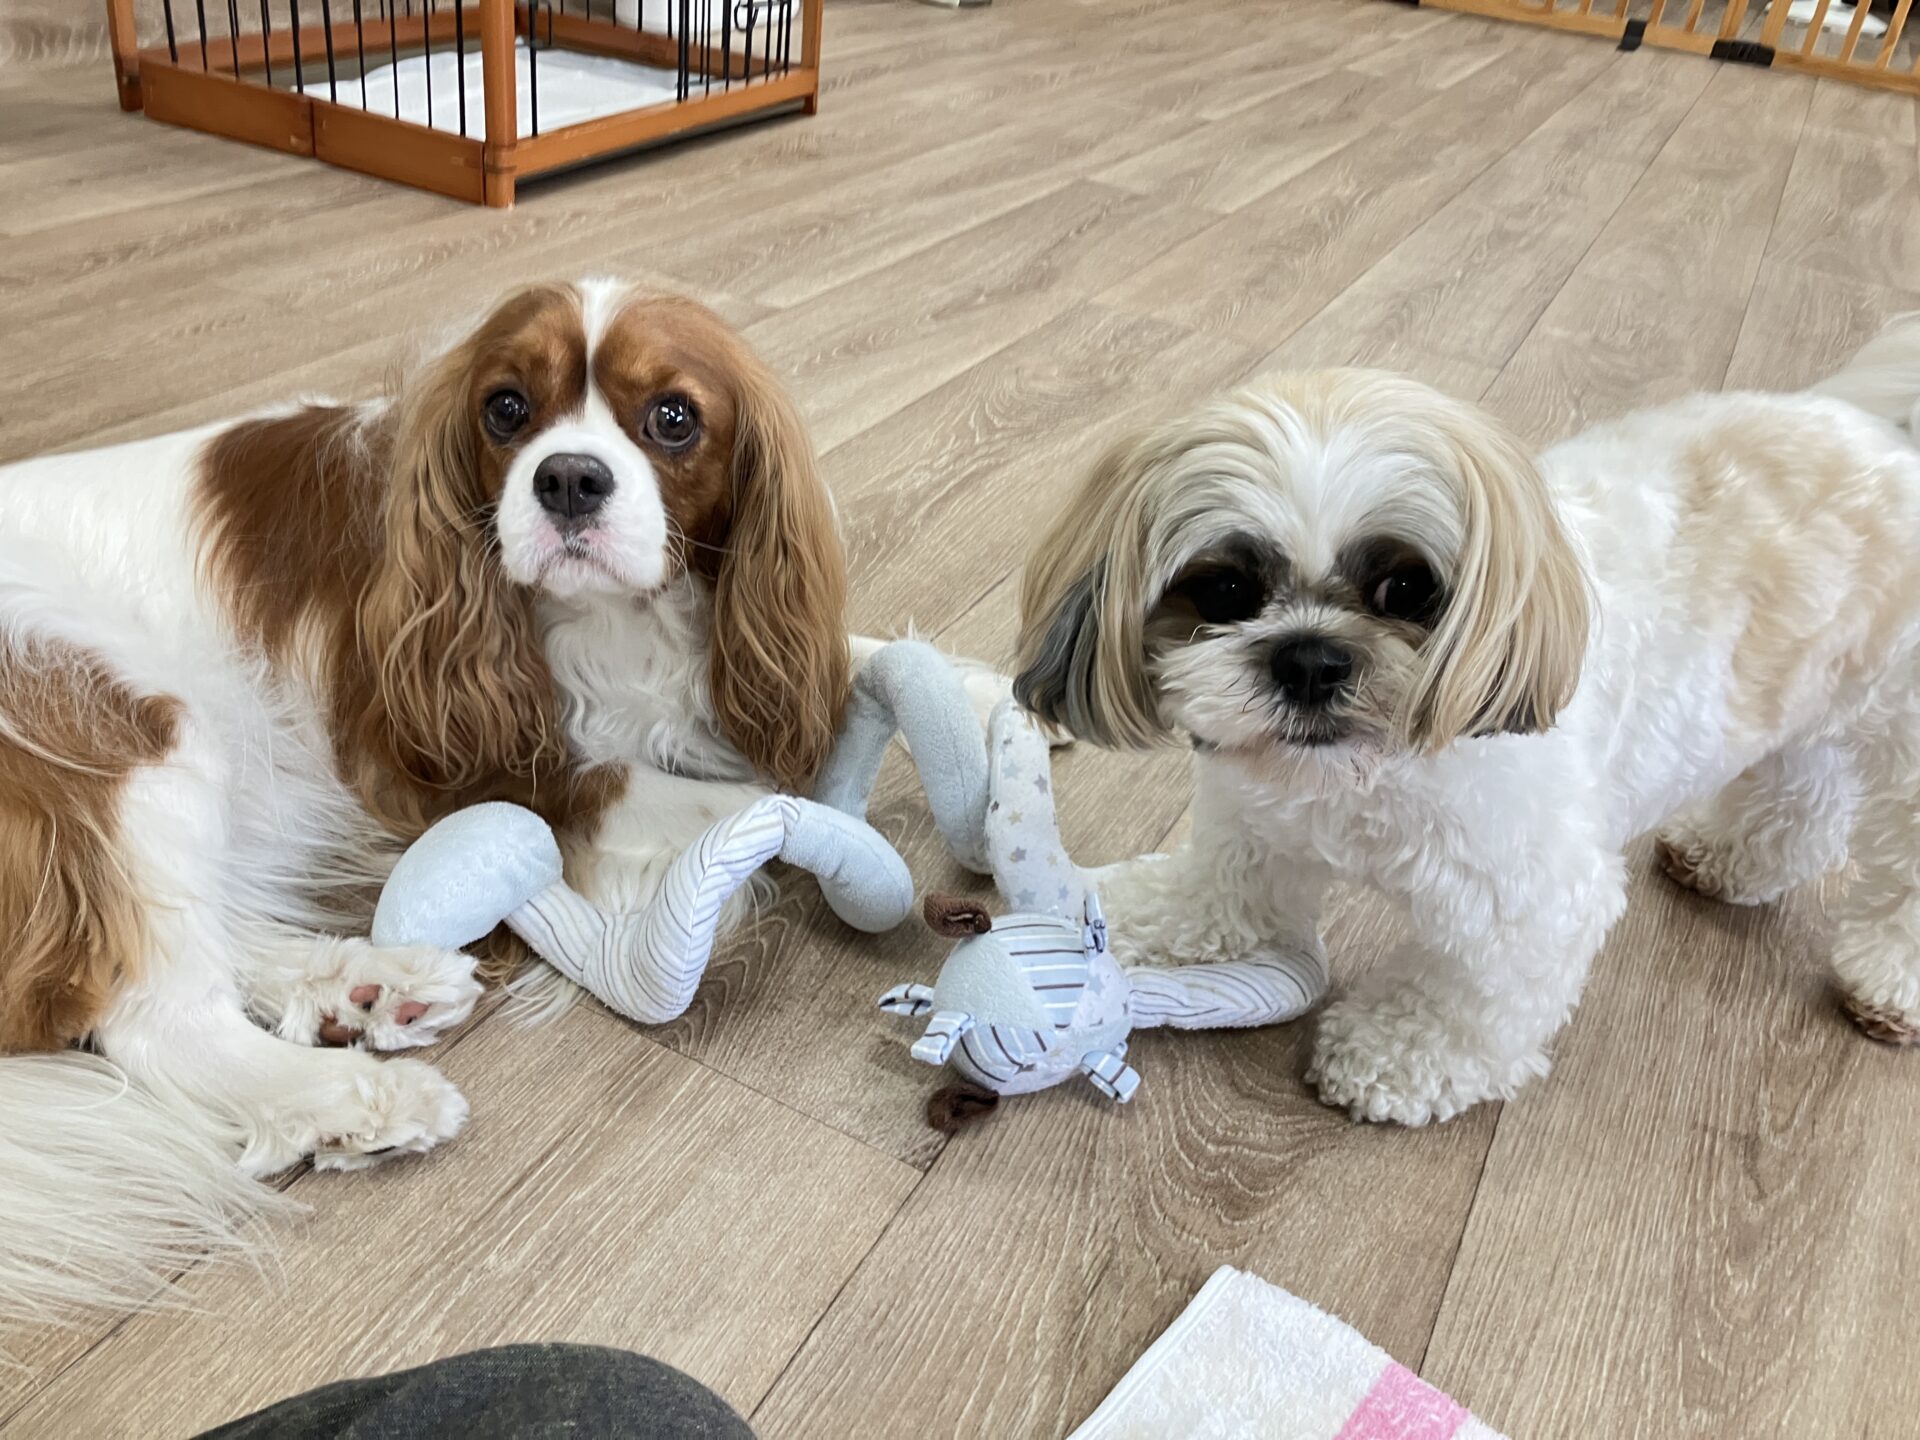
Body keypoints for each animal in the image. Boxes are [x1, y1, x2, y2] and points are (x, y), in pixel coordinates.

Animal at [0, 278, 991, 1332]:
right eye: (507, 409)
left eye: (674, 418)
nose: (570, 479)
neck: (626, 621)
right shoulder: (485, 767)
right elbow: (742, 793)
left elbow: (856, 660)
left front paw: (991, 698)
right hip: (123, 721)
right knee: (153, 1010)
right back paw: (356, 1098)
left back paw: (369, 986)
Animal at [1011, 318, 1920, 1127]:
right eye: (1226, 589)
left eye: (1407, 589)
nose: (1310, 660)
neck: (1361, 778)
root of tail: (1888, 440)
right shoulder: (1255, 828)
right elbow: (1214, 895)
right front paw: (1113, 914)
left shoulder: (1528, 897)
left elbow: (1464, 997)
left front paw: (1392, 1057)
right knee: (1803, 799)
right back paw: (1727, 858)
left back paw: (1887, 983)